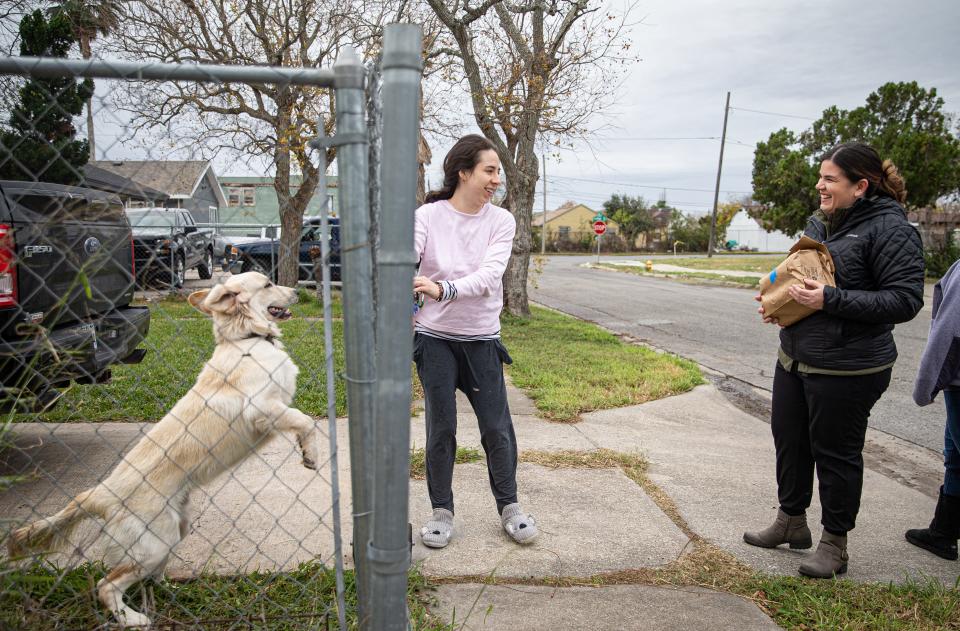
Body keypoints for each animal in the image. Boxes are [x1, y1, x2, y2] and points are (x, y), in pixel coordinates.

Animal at [6, 272, 318, 628]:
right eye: (267, 285)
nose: (299, 291)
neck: (245, 339)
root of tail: (101, 493)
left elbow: (300, 422)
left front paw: (303, 449)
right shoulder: (261, 409)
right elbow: (306, 421)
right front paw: (311, 455)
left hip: (174, 529)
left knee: (146, 578)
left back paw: (167, 589)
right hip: (153, 543)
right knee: (107, 585)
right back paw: (131, 618)